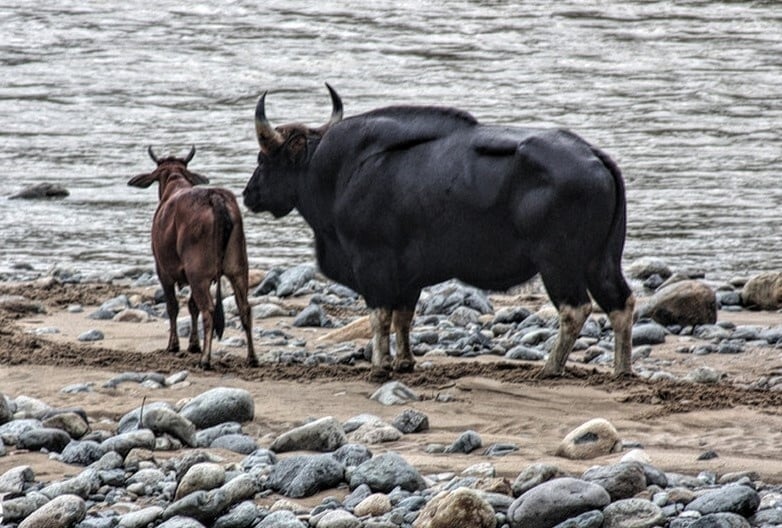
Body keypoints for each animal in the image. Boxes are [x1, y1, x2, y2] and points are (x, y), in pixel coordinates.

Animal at [129, 144, 258, 368]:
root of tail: (215, 197)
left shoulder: (163, 270)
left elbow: (173, 306)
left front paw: (174, 345)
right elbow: (191, 306)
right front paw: (193, 344)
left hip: (199, 274)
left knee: (209, 311)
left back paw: (205, 359)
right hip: (238, 268)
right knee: (245, 309)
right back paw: (252, 357)